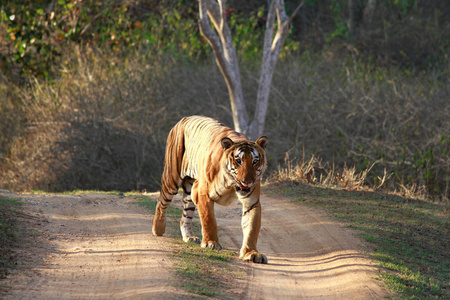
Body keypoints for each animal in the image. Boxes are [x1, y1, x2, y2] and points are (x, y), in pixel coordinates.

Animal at [153, 116, 268, 264]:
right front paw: (211, 243)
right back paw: (158, 228)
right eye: (238, 161)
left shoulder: (252, 202)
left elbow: (251, 228)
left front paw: (251, 253)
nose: (247, 181)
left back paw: (189, 237)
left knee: (185, 216)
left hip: (189, 190)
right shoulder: (202, 192)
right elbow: (209, 220)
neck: (231, 183)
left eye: (255, 161)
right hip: (172, 177)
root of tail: (184, 118)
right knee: (162, 201)